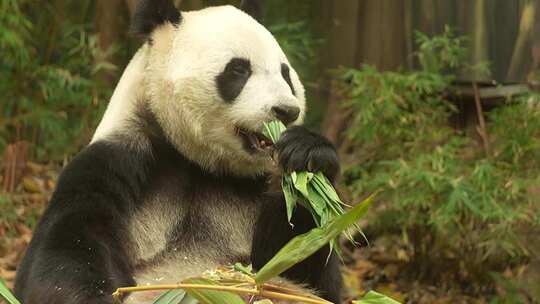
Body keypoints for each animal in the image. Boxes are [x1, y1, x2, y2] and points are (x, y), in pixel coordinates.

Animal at [15, 1, 342, 302]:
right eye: (238, 69)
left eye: (286, 74)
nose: (287, 111)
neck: (199, 162)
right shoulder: (120, 161)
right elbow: (65, 249)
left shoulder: (257, 187)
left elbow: (301, 261)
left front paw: (309, 158)